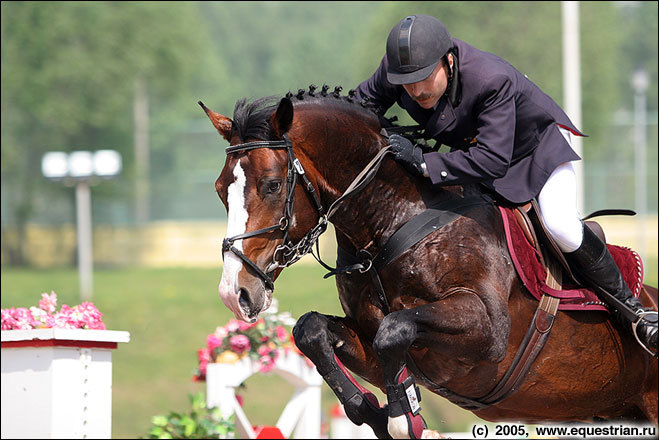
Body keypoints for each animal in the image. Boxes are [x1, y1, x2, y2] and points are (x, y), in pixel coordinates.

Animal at [199, 87, 656, 440]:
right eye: (220, 190)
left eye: (273, 186)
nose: (233, 293)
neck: (391, 224)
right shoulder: (371, 338)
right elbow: (313, 330)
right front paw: (375, 411)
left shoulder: (486, 328)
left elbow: (395, 329)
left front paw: (405, 420)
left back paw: (644, 322)